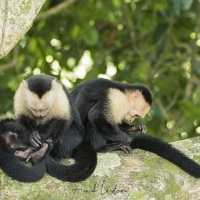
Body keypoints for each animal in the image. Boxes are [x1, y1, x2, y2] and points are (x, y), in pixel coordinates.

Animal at [71, 78, 200, 178]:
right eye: (136, 115)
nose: (131, 120)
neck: (122, 91)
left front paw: (133, 128)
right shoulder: (116, 100)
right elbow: (95, 115)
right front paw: (127, 139)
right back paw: (102, 147)